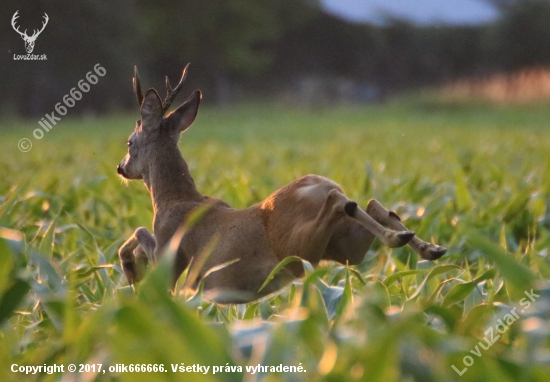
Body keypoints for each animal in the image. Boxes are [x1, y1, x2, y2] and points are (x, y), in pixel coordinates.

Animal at [117, 66, 448, 304]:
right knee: (370, 205)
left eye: (129, 142)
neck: (175, 199)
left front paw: (132, 271)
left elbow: (140, 232)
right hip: (340, 248)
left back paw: (401, 238)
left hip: (298, 247)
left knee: (342, 202)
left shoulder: (170, 259)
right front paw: (132, 272)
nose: (121, 168)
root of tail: (320, 183)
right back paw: (423, 244)